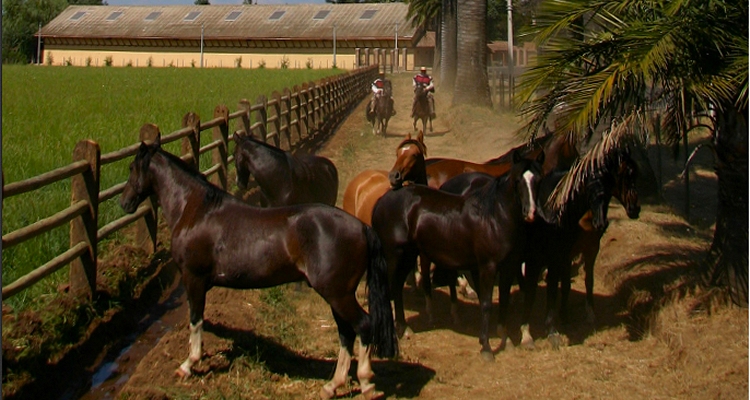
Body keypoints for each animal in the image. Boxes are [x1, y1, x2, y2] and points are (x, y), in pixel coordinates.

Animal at [119, 135, 400, 400]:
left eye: (132, 167)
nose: (124, 203)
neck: (196, 211)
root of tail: (362, 228)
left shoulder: (194, 279)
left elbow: (195, 321)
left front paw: (188, 364)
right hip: (337, 296)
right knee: (346, 333)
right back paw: (333, 386)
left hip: (338, 295)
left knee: (363, 325)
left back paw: (366, 383)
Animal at [374, 148, 548, 360]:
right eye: (517, 180)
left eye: (539, 179)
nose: (531, 212)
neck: (495, 216)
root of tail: (381, 202)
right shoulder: (487, 267)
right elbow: (486, 303)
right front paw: (486, 347)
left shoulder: (508, 268)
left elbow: (504, 301)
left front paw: (505, 340)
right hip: (394, 256)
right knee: (390, 289)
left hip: (408, 255)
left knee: (397, 288)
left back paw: (405, 329)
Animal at [524, 145, 640, 348]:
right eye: (625, 175)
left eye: (634, 174)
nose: (635, 209)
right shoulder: (563, 254)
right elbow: (561, 284)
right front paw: (560, 317)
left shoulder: (590, 248)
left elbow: (587, 281)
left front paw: (587, 315)